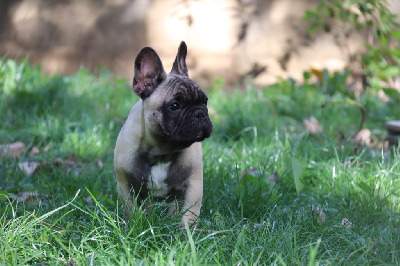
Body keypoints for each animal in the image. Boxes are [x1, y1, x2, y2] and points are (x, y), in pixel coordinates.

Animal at [113, 41, 212, 223]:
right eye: (175, 106)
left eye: (205, 101)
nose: (200, 113)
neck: (161, 152)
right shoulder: (125, 185)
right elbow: (132, 211)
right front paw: (136, 224)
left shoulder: (193, 188)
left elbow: (188, 216)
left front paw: (184, 230)